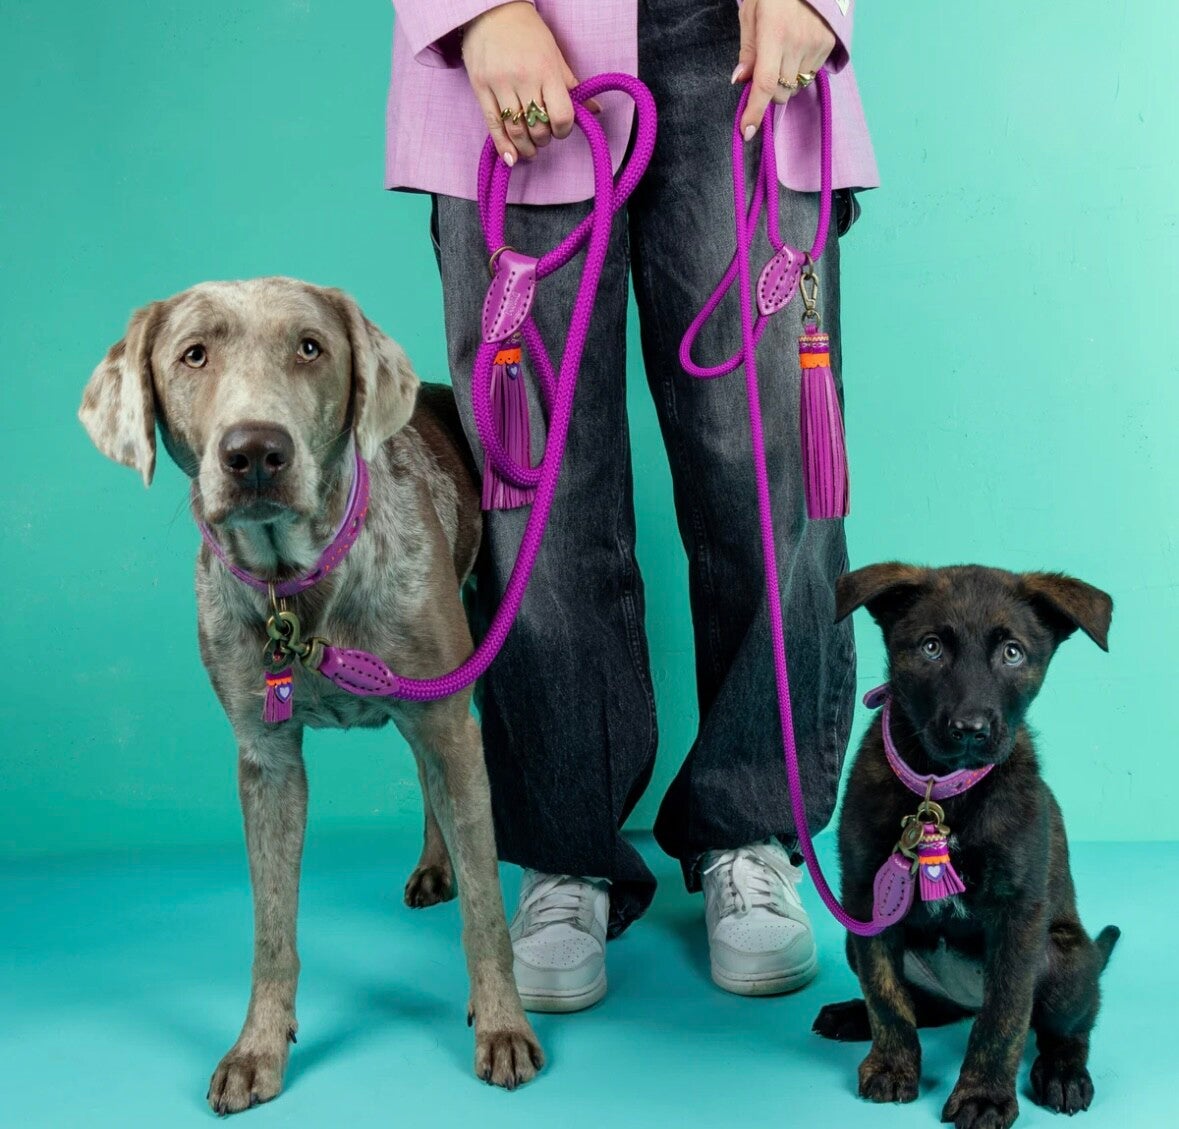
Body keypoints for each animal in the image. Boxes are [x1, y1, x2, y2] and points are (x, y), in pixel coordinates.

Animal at [79, 277, 543, 1112]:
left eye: (309, 347)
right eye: (193, 354)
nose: (255, 451)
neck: (295, 589)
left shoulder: (447, 717)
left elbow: (486, 907)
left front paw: (502, 1024)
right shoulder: (265, 761)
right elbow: (271, 928)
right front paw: (256, 1046)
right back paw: (433, 865)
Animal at [813, 563, 1118, 1129]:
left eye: (1013, 653)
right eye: (931, 647)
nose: (970, 730)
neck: (942, 791)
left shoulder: (1018, 915)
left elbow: (1004, 1018)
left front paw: (984, 1095)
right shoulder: (867, 898)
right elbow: (886, 996)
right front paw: (892, 1063)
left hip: (1066, 960)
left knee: (1067, 1027)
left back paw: (1064, 1072)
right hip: (852, 936)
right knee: (924, 1007)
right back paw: (852, 1016)